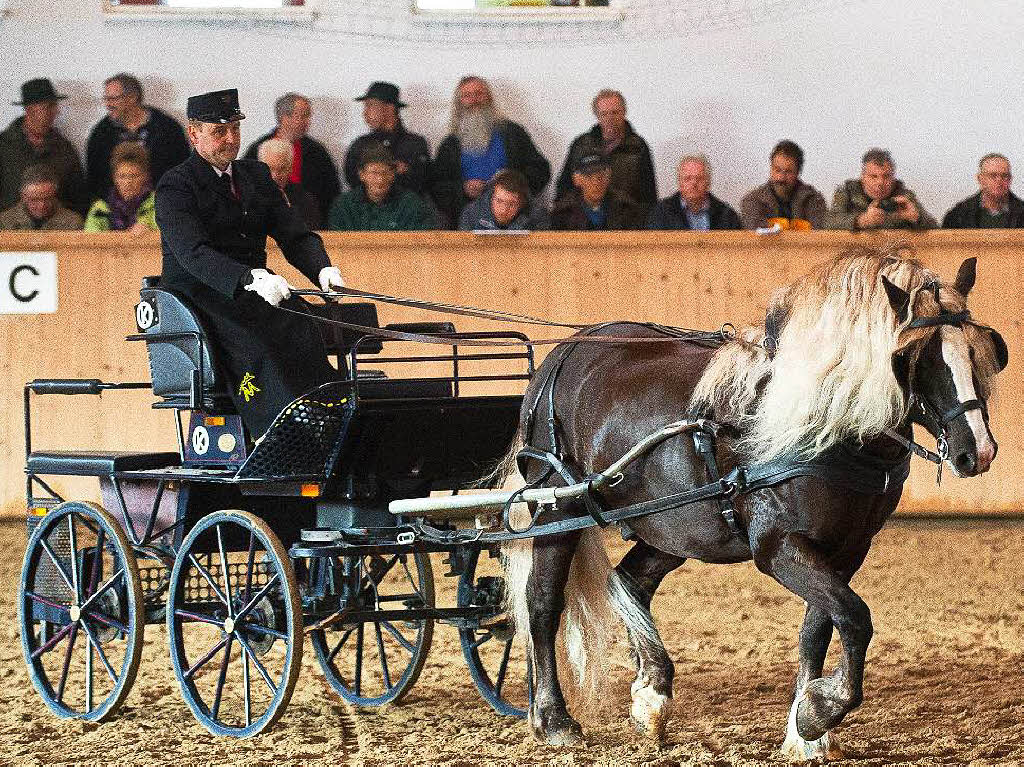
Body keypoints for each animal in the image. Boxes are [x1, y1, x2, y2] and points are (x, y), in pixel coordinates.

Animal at [499, 246, 1011, 761]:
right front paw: (819, 712)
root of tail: (563, 354)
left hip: (672, 526)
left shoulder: (847, 549)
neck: (824, 423)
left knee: (629, 581)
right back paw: (553, 718)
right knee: (542, 602)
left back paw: (652, 696)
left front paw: (807, 732)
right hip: (558, 509)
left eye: (979, 349)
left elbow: (819, 629)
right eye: (910, 357)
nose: (979, 451)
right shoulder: (778, 548)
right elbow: (855, 618)